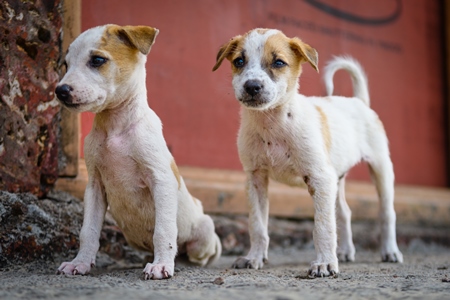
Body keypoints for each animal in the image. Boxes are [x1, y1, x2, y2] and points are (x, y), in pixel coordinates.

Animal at [55, 24, 221, 280]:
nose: (60, 90)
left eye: (97, 60)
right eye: (66, 64)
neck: (114, 126)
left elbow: (163, 230)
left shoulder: (161, 180)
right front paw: (79, 263)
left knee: (194, 254)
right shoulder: (94, 187)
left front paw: (161, 265)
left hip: (204, 231)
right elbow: (88, 231)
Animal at [213, 29, 402, 278]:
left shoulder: (319, 178)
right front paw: (254, 257)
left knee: (386, 213)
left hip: (381, 168)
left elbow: (322, 226)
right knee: (344, 213)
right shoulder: (255, 178)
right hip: (336, 177)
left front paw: (325, 264)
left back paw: (390, 251)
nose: (252, 86)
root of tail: (359, 101)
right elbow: (257, 225)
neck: (272, 124)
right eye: (239, 61)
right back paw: (345, 251)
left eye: (279, 62)